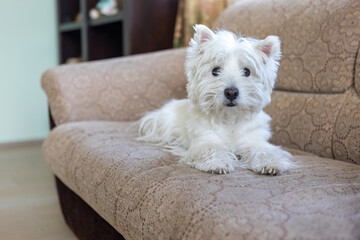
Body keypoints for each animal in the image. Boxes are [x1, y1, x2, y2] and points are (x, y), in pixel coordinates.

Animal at [138, 24, 296, 174]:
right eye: (215, 71)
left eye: (247, 71)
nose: (231, 92)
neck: (229, 119)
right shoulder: (203, 140)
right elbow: (211, 148)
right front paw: (218, 164)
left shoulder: (253, 140)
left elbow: (264, 150)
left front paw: (272, 164)